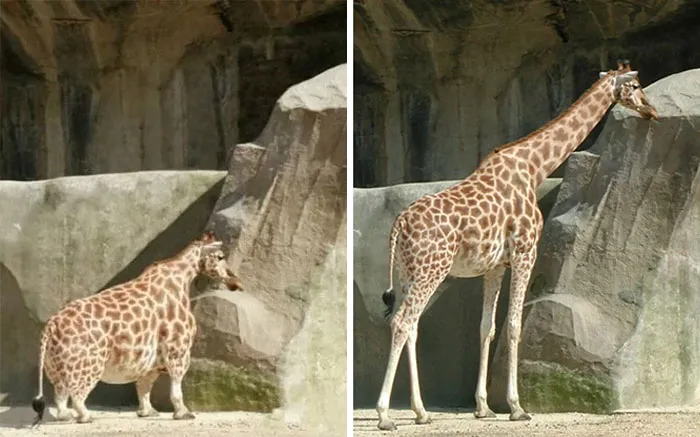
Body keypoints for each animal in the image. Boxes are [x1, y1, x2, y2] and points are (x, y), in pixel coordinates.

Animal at [31, 231, 243, 425]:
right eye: (220, 257)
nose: (237, 282)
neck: (182, 279)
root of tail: (50, 326)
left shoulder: (152, 359)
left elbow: (144, 386)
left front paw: (147, 412)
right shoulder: (178, 349)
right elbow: (175, 388)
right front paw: (183, 413)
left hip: (55, 368)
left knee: (60, 396)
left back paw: (67, 417)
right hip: (88, 364)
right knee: (76, 394)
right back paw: (86, 417)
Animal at [375, 60, 658, 430]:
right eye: (636, 85)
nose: (652, 110)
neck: (535, 168)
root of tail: (400, 224)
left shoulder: (494, 265)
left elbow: (487, 328)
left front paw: (483, 407)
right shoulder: (525, 253)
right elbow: (513, 326)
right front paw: (517, 406)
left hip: (409, 272)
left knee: (411, 325)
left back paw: (421, 412)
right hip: (430, 270)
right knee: (401, 322)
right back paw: (384, 415)